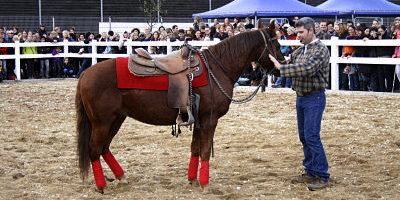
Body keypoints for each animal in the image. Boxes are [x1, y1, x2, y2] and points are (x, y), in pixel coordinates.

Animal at [76, 20, 284, 194]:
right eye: (277, 45)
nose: (281, 66)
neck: (216, 69)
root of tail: (86, 73)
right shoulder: (209, 120)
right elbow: (205, 150)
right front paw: (205, 185)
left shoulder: (198, 120)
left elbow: (195, 148)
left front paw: (193, 180)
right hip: (102, 122)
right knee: (94, 149)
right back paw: (102, 186)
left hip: (117, 118)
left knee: (104, 148)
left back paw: (121, 177)